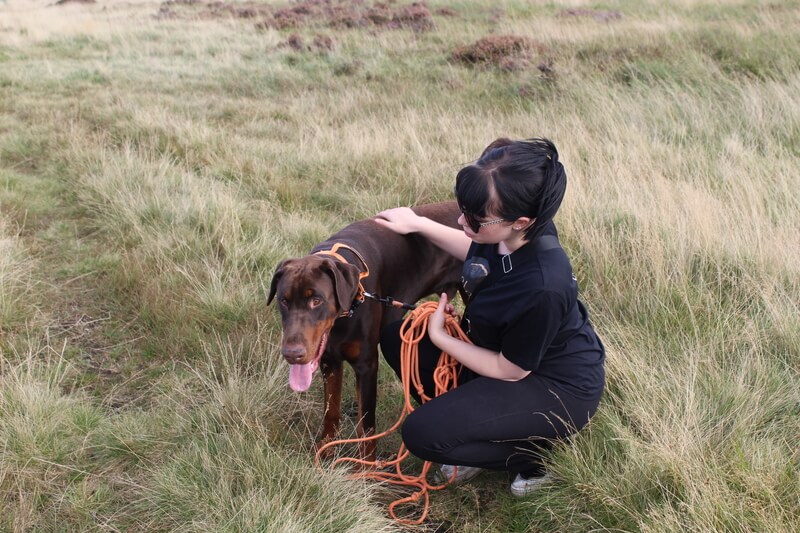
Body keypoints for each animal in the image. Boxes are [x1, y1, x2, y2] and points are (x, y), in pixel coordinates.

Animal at [268, 202, 462, 460]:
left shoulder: (366, 365)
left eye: (316, 301)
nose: (292, 354)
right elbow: (331, 411)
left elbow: (366, 425)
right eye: (284, 300)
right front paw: (326, 452)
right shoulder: (330, 360)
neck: (344, 315)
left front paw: (366, 467)